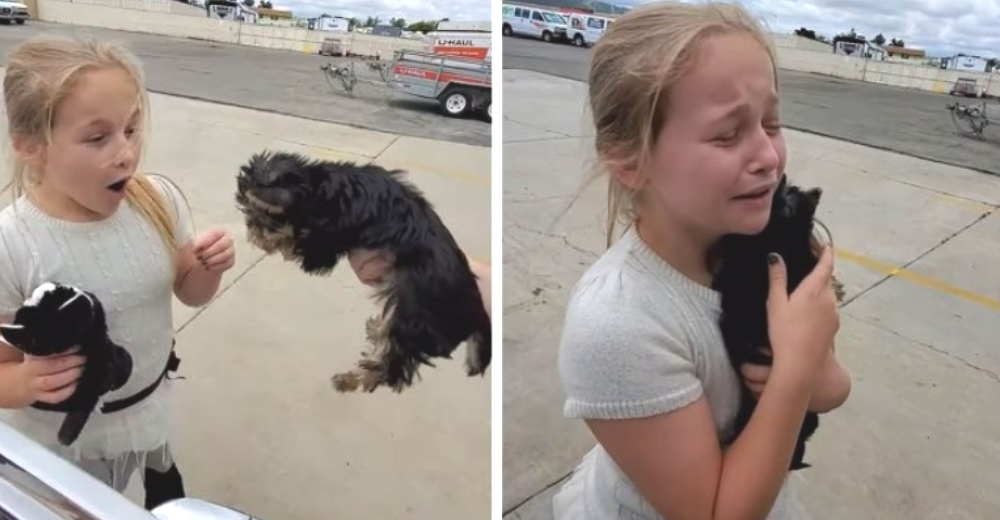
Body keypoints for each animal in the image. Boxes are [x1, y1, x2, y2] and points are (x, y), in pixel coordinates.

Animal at [234, 148, 492, 392]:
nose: (251, 231)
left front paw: (278, 240)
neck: (320, 187)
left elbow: (303, 243)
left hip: (413, 315)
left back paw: (352, 379)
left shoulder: (327, 238)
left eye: (261, 214)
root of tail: (476, 309)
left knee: (392, 367)